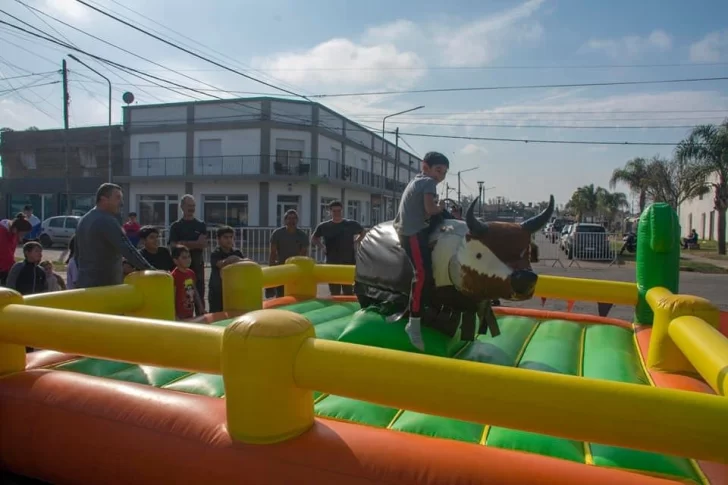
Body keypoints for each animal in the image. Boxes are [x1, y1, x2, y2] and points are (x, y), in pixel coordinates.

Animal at [356, 194, 556, 340]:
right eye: (479, 255)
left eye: (527, 252)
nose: (525, 279)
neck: (455, 251)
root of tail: (367, 233)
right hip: (364, 284)